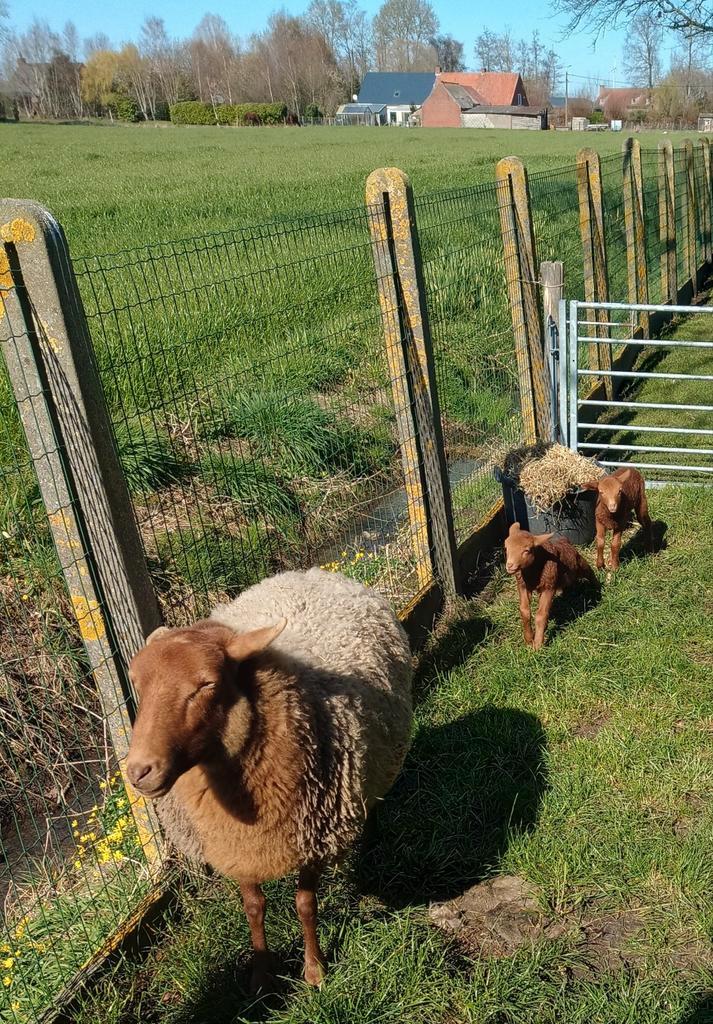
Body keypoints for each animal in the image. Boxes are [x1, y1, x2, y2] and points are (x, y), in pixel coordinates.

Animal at [126, 567, 413, 991]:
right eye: (137, 685)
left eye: (207, 684)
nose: (138, 771)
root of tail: (311, 572)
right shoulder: (237, 846)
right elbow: (254, 907)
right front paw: (261, 975)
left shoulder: (314, 836)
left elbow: (306, 905)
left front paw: (314, 970)